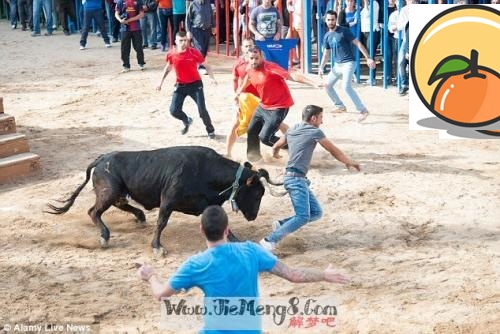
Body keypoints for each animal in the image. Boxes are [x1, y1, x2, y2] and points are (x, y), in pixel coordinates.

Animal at [47, 145, 286, 253]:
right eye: (257, 193)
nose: (253, 216)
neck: (206, 170)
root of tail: (102, 158)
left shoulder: (206, 204)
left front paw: (236, 241)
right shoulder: (168, 199)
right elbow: (162, 222)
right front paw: (157, 247)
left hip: (116, 192)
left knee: (119, 204)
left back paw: (140, 217)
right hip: (109, 191)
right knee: (94, 211)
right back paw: (105, 237)